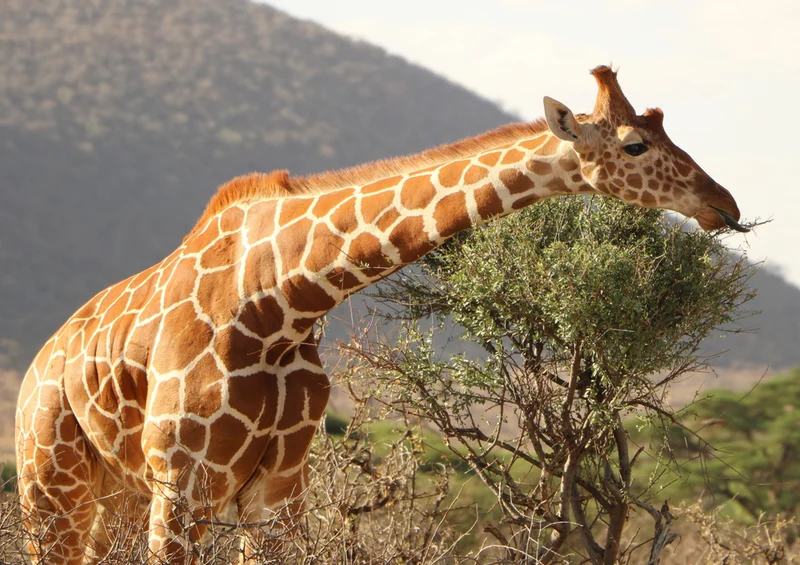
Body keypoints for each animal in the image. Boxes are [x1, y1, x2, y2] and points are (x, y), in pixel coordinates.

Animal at [15, 65, 747, 564]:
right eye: (633, 145)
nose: (726, 202)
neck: (281, 299)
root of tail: (35, 370)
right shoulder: (183, 480)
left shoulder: (279, 485)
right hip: (51, 485)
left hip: (117, 495)